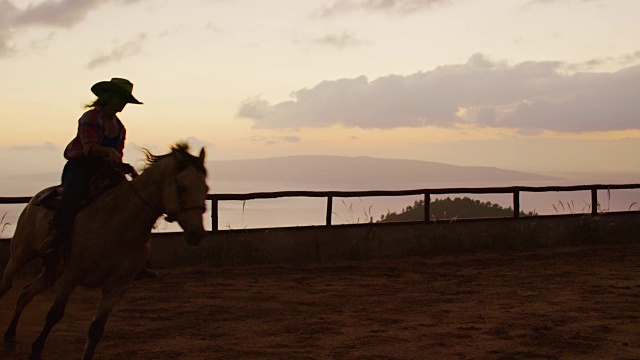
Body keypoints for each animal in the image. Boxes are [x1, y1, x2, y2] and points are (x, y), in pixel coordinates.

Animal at [0, 142, 208, 358]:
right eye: (181, 187)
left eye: (205, 188)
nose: (197, 233)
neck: (118, 223)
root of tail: (36, 199)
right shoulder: (72, 276)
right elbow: (54, 314)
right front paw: (36, 351)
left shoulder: (116, 287)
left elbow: (96, 329)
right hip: (20, 255)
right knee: (6, 286)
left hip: (53, 270)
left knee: (26, 293)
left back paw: (10, 336)